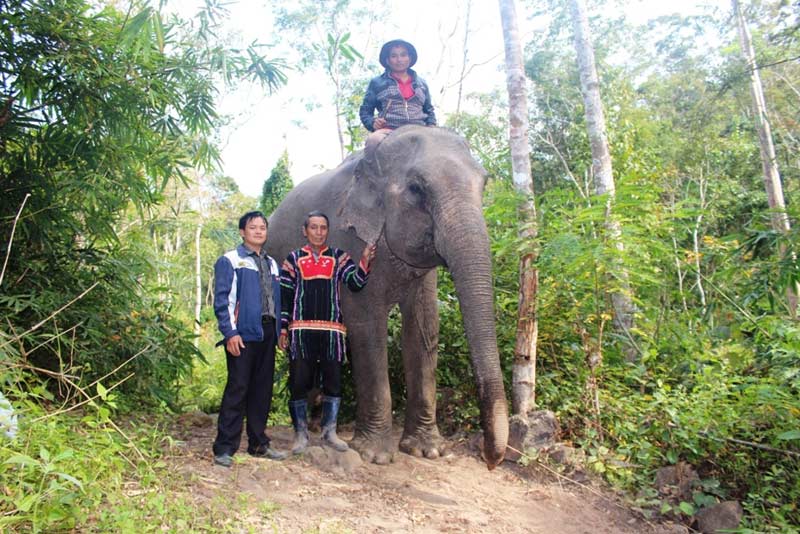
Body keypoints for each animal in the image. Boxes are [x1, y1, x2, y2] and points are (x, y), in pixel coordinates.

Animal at [266, 124, 510, 468]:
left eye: (485, 182)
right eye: (416, 189)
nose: (490, 459)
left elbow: (424, 329)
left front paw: (426, 451)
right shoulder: (349, 238)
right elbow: (367, 327)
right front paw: (375, 456)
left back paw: (315, 426)